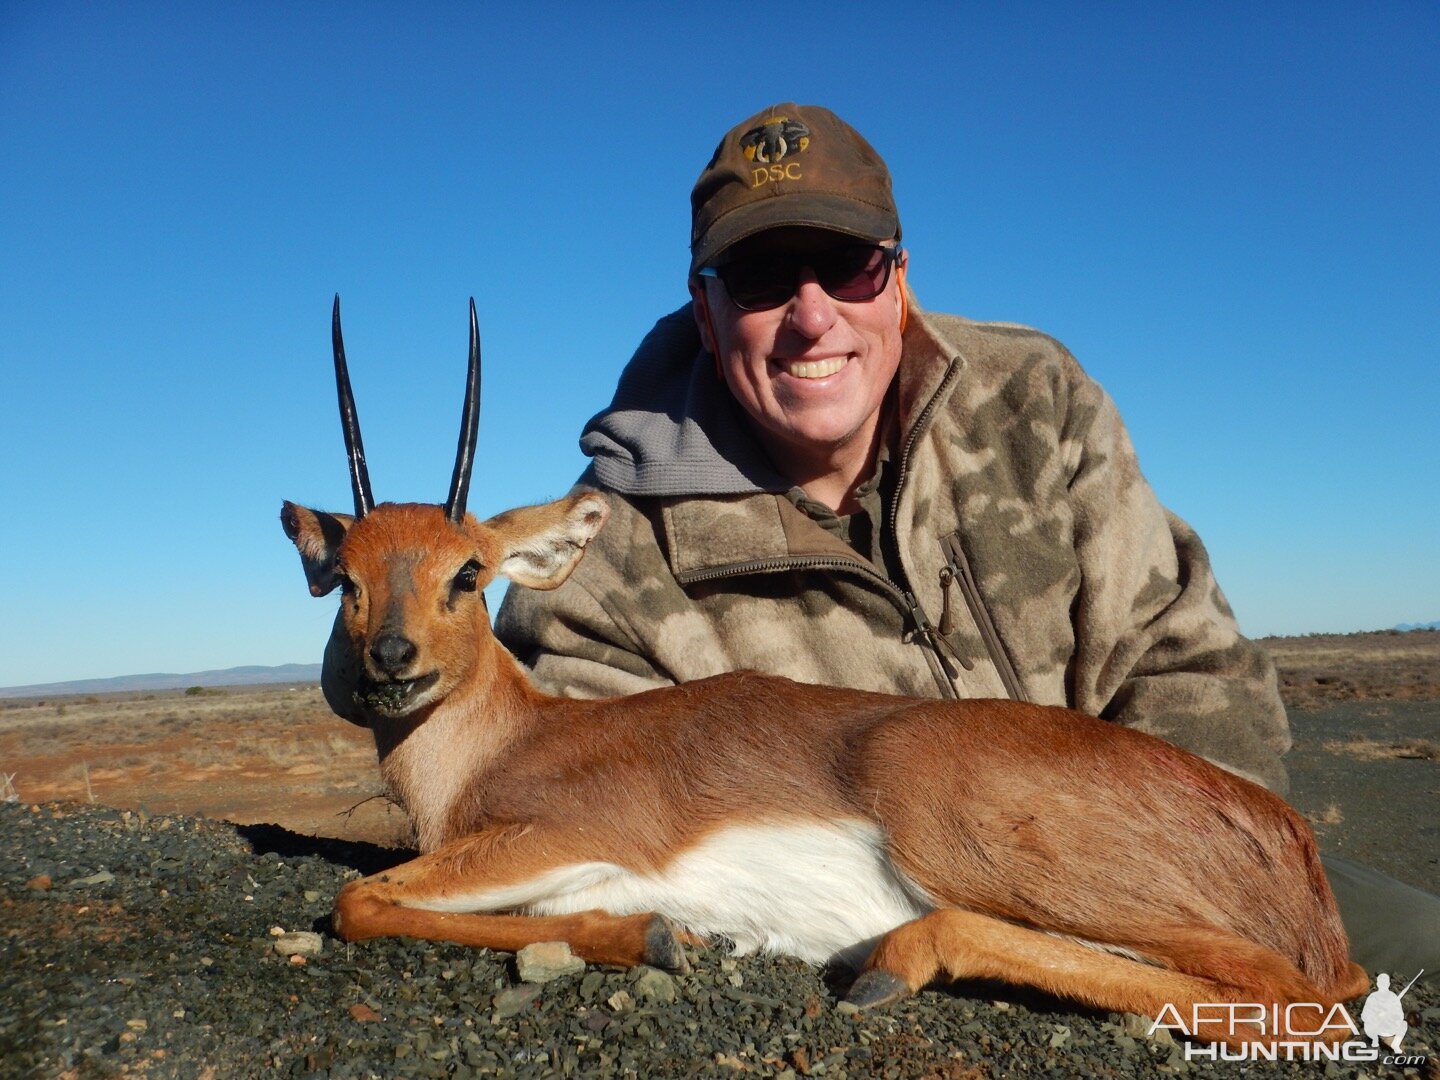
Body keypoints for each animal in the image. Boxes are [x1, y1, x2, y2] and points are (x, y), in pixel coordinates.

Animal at [283, 296, 1370, 1048]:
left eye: (469, 572)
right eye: (346, 579)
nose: (391, 663)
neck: (506, 743)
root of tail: (1284, 841)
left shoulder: (566, 835)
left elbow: (360, 901)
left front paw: (655, 934)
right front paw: (658, 934)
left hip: (967, 846)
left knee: (1296, 995)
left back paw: (888, 964)